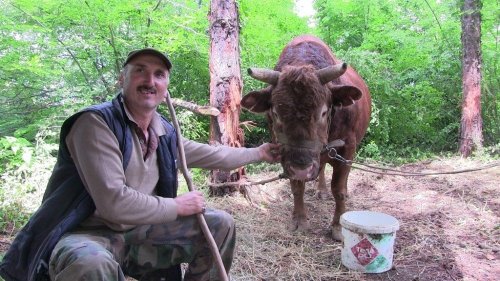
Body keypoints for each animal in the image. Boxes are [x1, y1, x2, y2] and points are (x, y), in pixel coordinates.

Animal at [242, 34, 372, 241]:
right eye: (275, 112)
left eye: (324, 112)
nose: (302, 168)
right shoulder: (285, 155)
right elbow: (297, 187)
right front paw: (299, 220)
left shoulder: (348, 148)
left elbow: (338, 188)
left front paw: (338, 226)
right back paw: (321, 190)